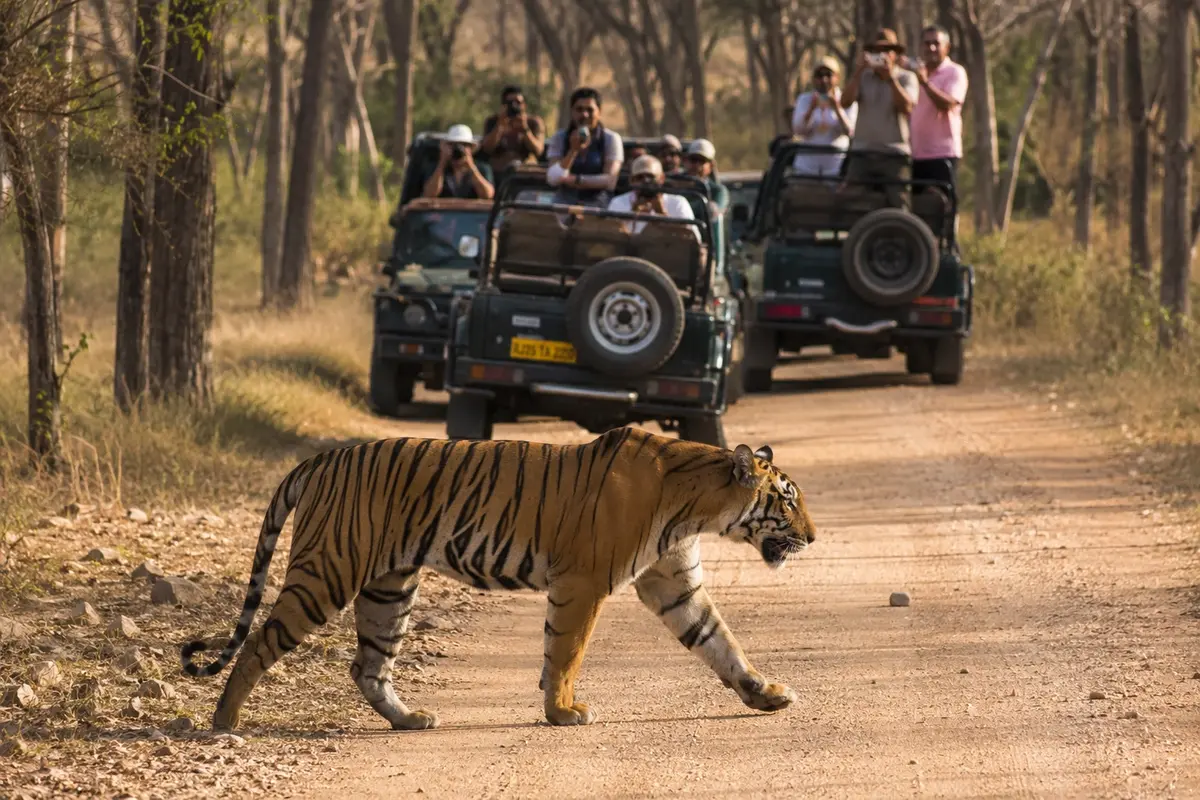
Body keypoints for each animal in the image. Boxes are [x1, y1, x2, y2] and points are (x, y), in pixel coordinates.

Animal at [180, 426, 817, 732]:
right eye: (787, 500)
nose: (813, 538)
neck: (699, 507)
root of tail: (319, 460)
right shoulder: (583, 581)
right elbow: (566, 651)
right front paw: (563, 712)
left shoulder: (676, 583)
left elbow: (720, 643)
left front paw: (764, 694)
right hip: (328, 571)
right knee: (259, 642)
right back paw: (224, 722)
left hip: (390, 585)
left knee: (367, 666)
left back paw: (410, 720)